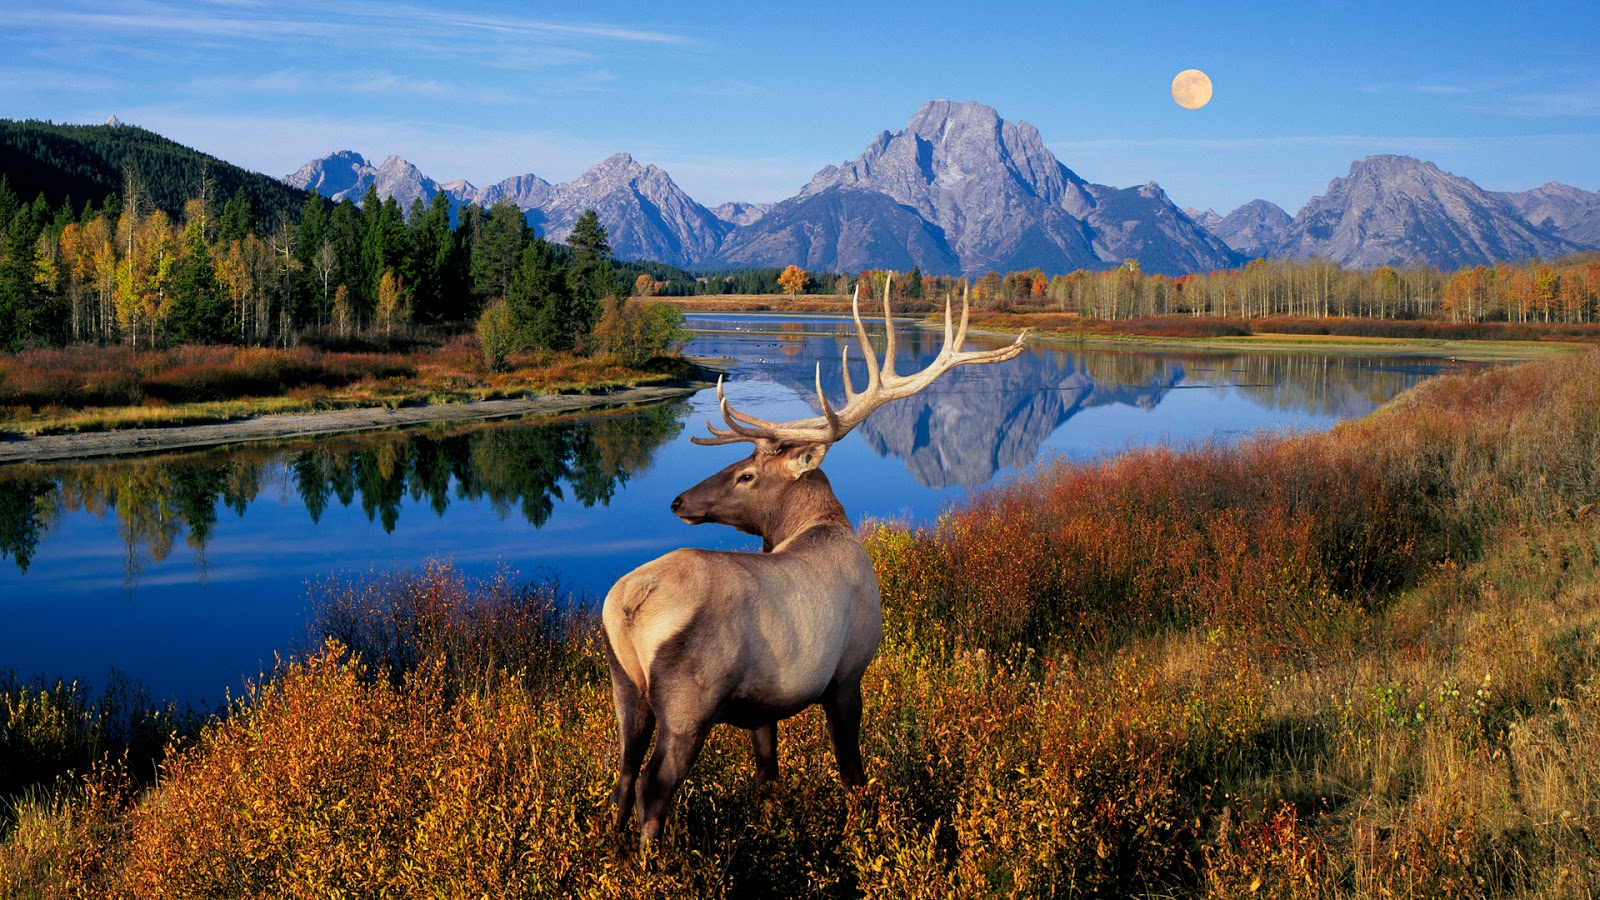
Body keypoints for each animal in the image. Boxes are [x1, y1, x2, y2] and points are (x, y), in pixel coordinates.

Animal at [601, 277, 1024, 839]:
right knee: (654, 787)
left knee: (624, 777)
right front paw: (865, 825)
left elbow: (767, 772)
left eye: (746, 474)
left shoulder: (762, 705)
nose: (678, 501)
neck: (822, 526)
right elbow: (852, 771)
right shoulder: (848, 674)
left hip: (626, 687)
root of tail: (629, 605)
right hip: (689, 701)